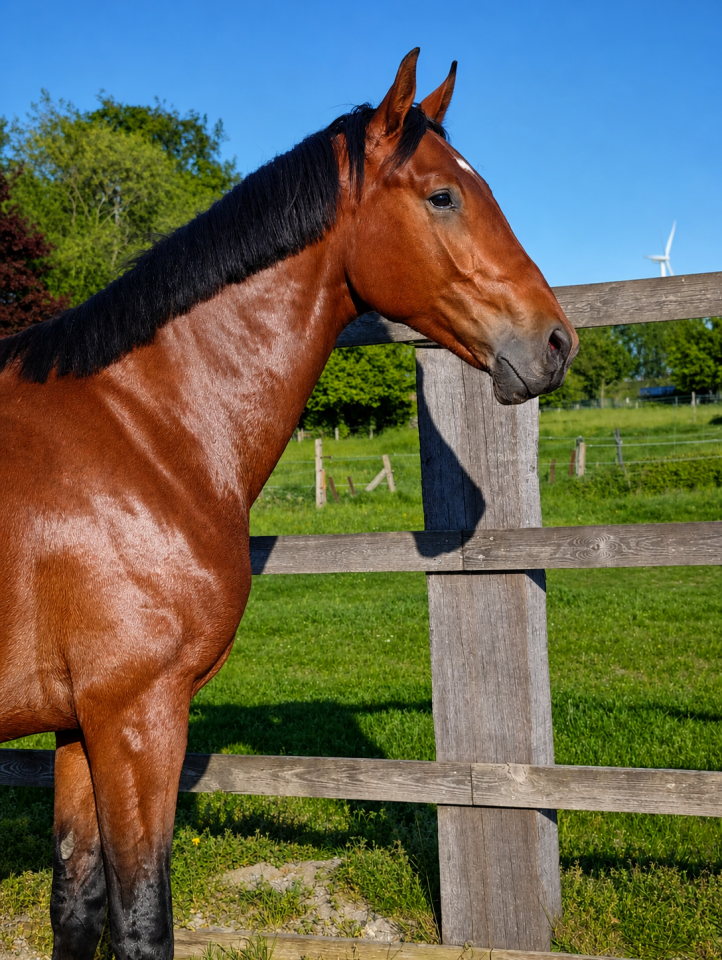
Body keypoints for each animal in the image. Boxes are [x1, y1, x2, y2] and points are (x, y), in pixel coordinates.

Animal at [0, 49, 577, 960]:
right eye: (443, 196)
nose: (556, 342)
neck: (141, 427)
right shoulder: (137, 716)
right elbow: (142, 921)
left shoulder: (79, 721)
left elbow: (77, 902)